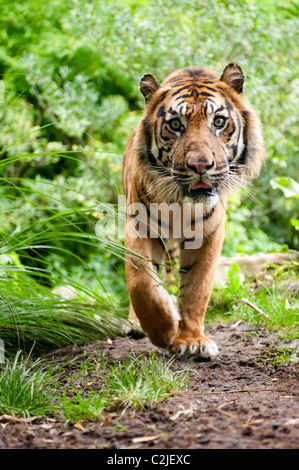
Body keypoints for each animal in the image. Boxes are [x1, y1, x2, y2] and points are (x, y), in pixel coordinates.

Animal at [122, 64, 264, 358]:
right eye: (176, 125)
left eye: (218, 122)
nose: (200, 165)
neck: (181, 205)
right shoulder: (139, 227)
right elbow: (141, 282)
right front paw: (163, 330)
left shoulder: (209, 234)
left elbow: (196, 289)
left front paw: (191, 340)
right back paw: (135, 324)